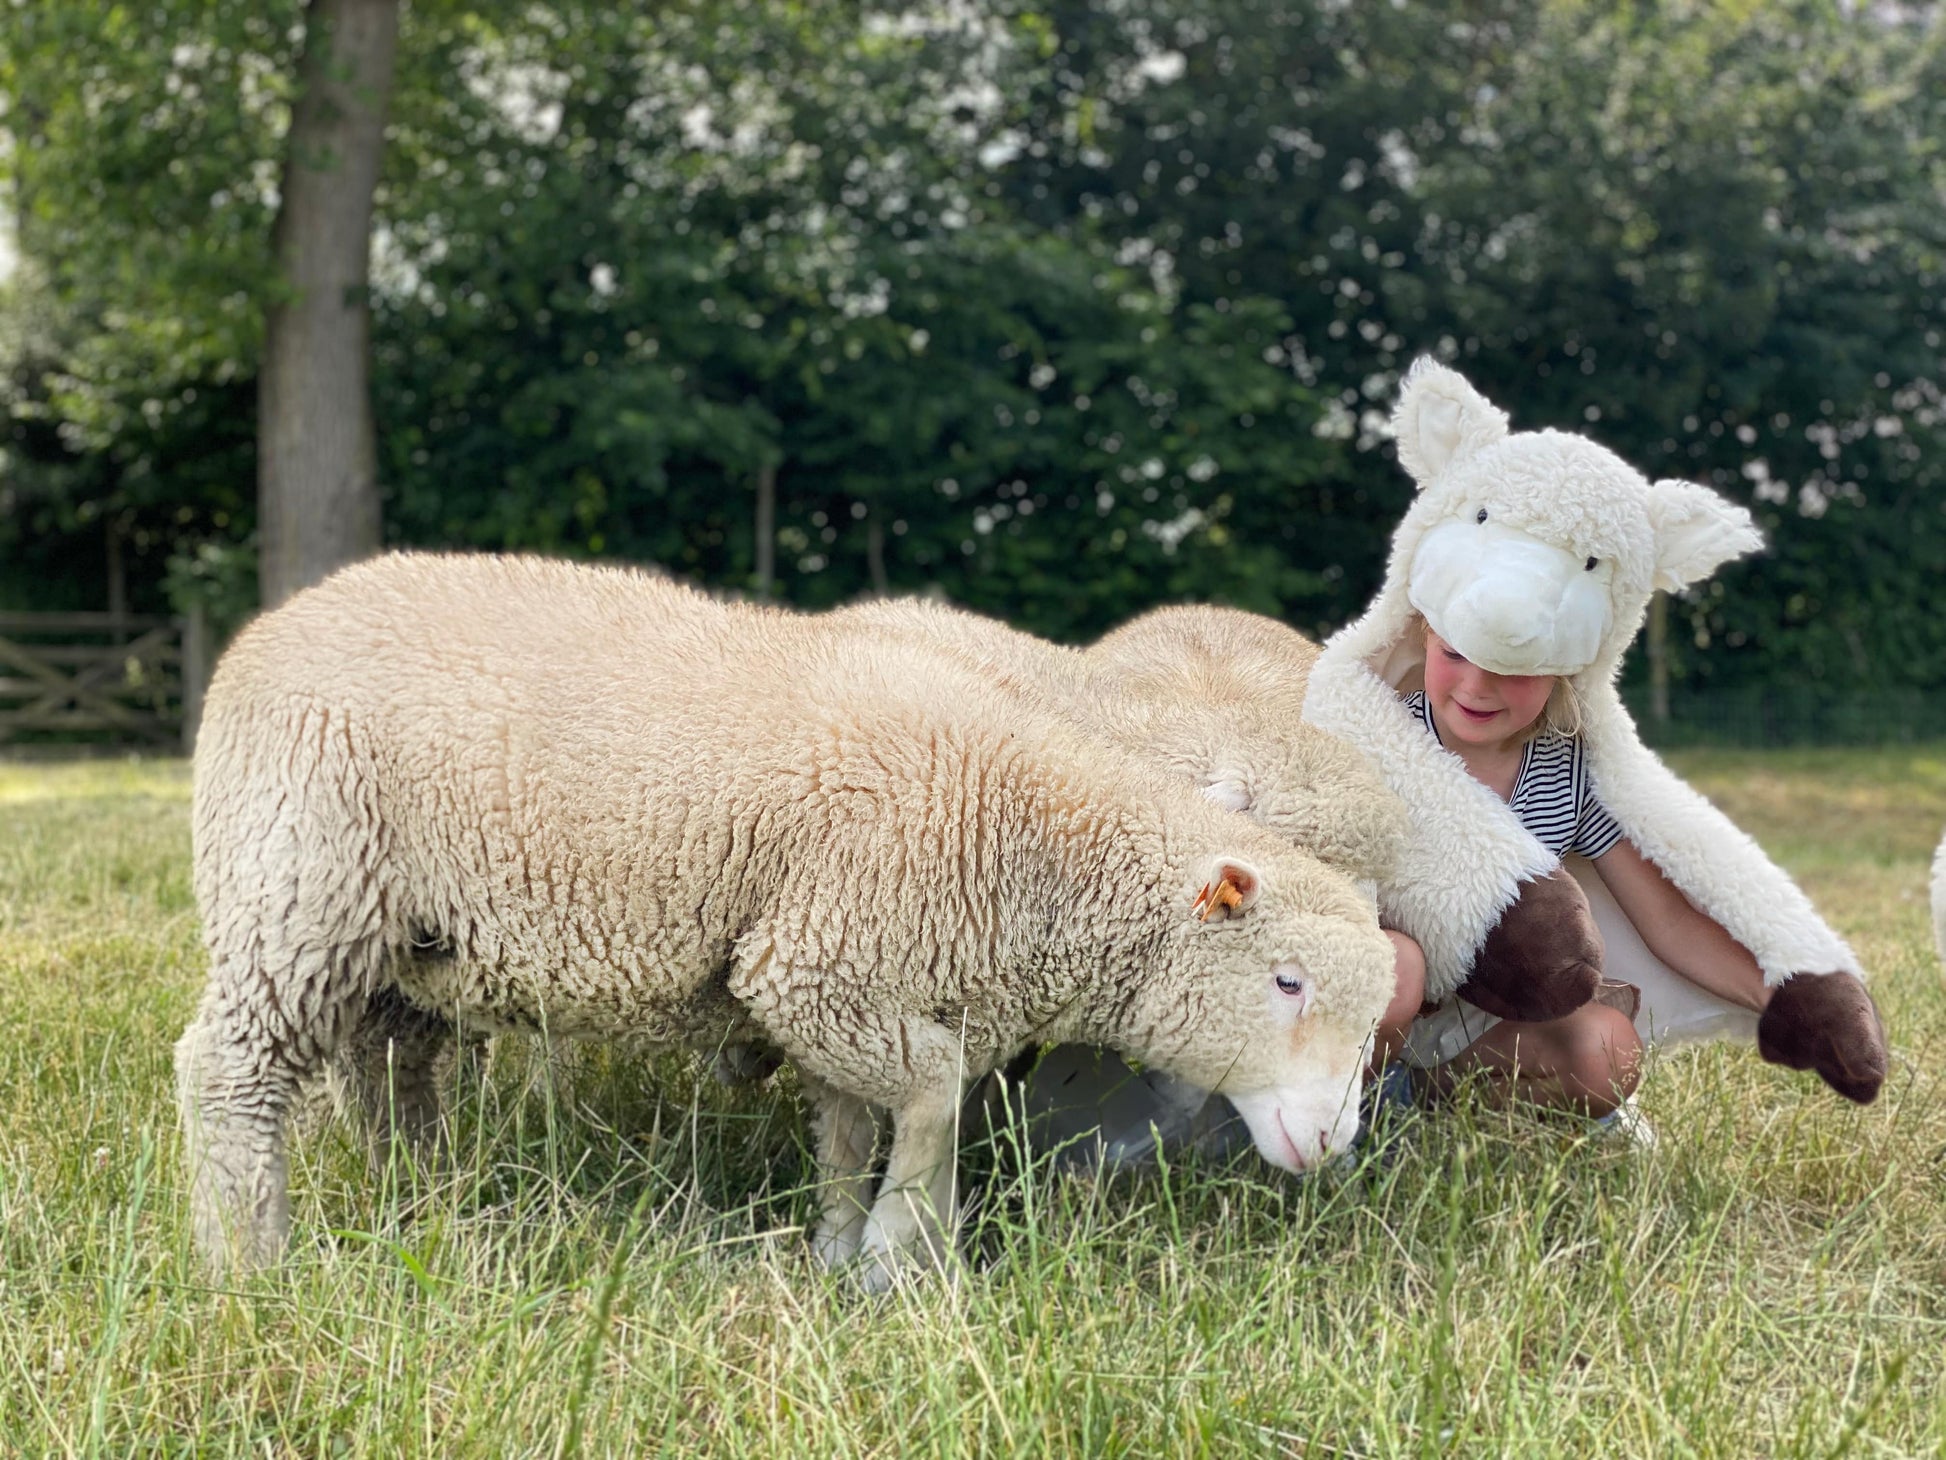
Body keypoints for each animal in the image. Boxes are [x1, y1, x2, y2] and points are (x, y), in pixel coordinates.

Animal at [176, 552, 1396, 1286]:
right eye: (1287, 981)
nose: (1334, 1140)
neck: (1028, 837)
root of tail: (266, 630)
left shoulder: (854, 982)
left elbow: (852, 1129)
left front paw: (839, 1246)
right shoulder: (811, 964)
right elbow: (931, 1100)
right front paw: (909, 1257)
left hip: (408, 940)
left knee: (388, 1063)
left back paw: (423, 1199)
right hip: (298, 876)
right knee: (227, 1068)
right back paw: (250, 1258)